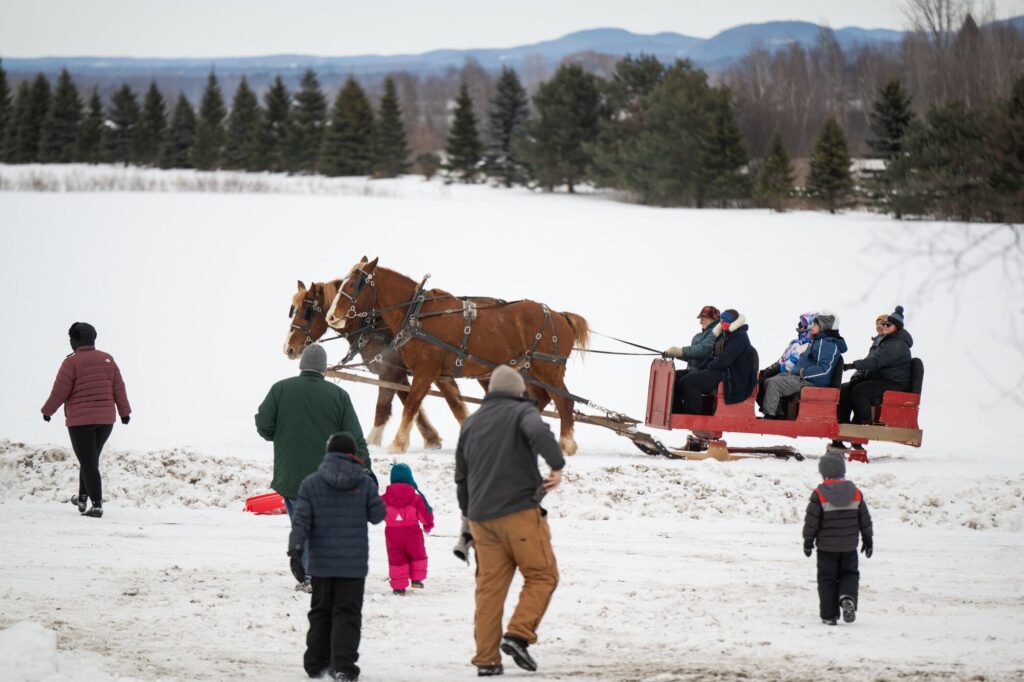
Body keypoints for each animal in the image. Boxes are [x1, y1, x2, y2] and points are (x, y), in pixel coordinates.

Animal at [284, 279, 470, 449]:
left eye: (306, 312)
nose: (288, 348)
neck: (372, 326)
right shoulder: (402, 373)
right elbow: (411, 402)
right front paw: (432, 439)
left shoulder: (392, 371)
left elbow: (385, 407)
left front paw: (373, 441)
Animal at [324, 257, 591, 455]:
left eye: (354, 285)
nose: (331, 317)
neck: (416, 314)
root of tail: (559, 315)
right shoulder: (440, 375)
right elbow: (456, 407)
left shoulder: (425, 370)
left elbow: (410, 404)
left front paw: (397, 445)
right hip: (530, 370)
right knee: (541, 399)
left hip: (549, 370)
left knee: (564, 402)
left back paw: (566, 445)